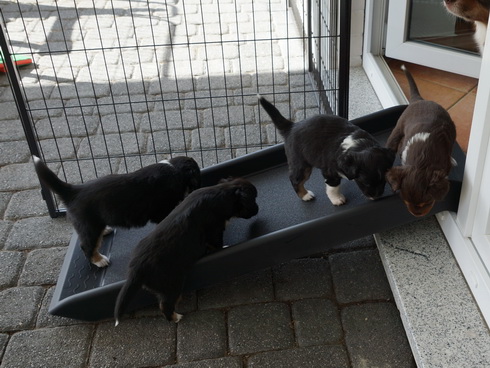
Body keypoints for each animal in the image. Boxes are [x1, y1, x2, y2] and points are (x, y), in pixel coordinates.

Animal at [33, 155, 200, 268]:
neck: (174, 170)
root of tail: (74, 191)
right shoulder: (162, 211)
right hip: (90, 225)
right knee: (86, 246)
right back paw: (99, 260)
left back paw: (105, 231)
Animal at [114, 178, 260, 324]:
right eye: (253, 199)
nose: (258, 210)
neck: (224, 191)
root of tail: (135, 269)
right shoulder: (215, 229)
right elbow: (217, 243)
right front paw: (224, 247)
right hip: (171, 284)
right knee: (165, 305)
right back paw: (175, 317)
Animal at [258, 96, 396, 206]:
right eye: (366, 183)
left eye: (384, 180)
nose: (377, 197)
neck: (360, 145)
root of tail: (291, 127)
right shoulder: (330, 170)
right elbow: (333, 186)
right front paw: (337, 199)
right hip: (301, 164)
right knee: (295, 179)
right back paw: (305, 195)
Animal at [384, 65, 458, 216]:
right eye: (406, 202)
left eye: (427, 203)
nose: (416, 214)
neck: (421, 163)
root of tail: (419, 99)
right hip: (399, 126)